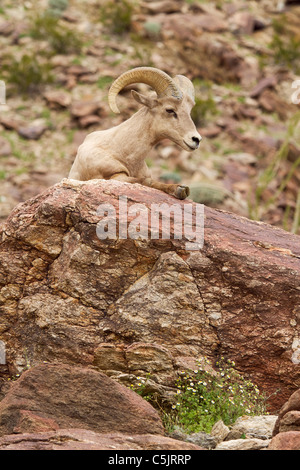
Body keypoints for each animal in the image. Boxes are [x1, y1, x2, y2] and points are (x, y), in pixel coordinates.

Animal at [68, 66, 202, 198]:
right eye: (169, 110)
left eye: (189, 111)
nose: (196, 139)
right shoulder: (116, 176)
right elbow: (146, 181)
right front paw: (179, 189)